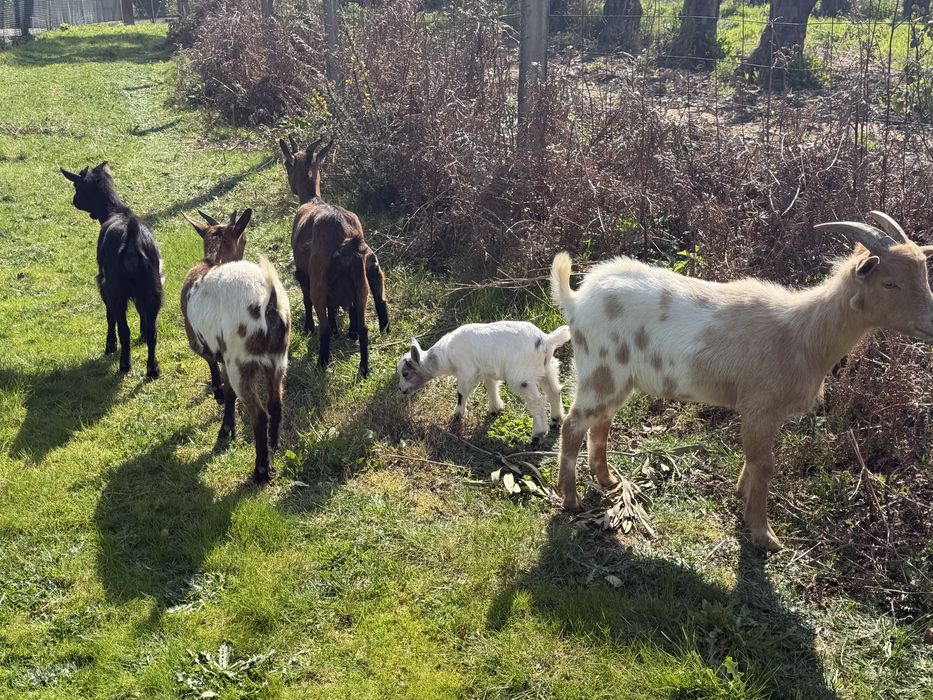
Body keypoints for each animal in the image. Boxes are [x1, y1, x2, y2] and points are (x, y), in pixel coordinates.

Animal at [61, 161, 164, 378]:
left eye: (77, 186)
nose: (74, 201)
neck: (114, 211)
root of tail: (132, 240)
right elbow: (142, 314)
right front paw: (142, 334)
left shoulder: (103, 283)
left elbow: (109, 316)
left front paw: (110, 346)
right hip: (153, 288)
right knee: (153, 330)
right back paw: (152, 368)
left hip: (117, 289)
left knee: (124, 328)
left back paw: (124, 363)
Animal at [181, 209, 291, 483]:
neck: (212, 261)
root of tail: (269, 302)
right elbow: (230, 390)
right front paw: (227, 427)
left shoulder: (201, 342)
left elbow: (214, 368)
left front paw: (221, 405)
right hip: (278, 361)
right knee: (276, 405)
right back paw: (273, 448)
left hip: (241, 364)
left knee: (259, 415)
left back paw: (261, 470)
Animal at [279, 135, 388, 377]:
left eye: (286, 164)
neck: (313, 199)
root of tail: (347, 240)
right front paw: (346, 330)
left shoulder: (303, 272)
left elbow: (306, 300)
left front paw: (308, 327)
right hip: (367, 276)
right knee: (370, 317)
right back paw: (365, 366)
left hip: (320, 282)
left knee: (324, 325)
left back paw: (322, 362)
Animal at [397, 321, 571, 442]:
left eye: (405, 374)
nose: (401, 389)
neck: (445, 356)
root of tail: (546, 341)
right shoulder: (487, 371)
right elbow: (490, 386)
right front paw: (495, 409)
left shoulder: (466, 371)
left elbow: (461, 393)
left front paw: (457, 415)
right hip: (548, 368)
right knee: (554, 391)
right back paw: (556, 420)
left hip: (521, 378)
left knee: (538, 402)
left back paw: (537, 434)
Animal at [550, 211, 933, 551]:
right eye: (890, 282)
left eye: (924, 276)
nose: (931, 323)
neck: (803, 333)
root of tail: (577, 300)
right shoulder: (759, 407)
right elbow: (764, 465)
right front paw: (763, 534)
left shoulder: (765, 413)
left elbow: (754, 461)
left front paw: (742, 498)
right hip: (600, 371)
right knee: (572, 425)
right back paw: (570, 500)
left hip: (618, 378)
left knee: (601, 423)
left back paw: (607, 480)